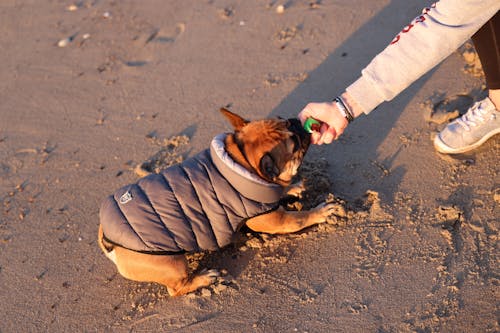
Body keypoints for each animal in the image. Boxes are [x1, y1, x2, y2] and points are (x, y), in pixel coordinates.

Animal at [97, 108, 336, 296]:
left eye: (283, 120)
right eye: (294, 144)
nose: (296, 122)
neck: (240, 162)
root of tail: (106, 237)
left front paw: (292, 187)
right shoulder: (275, 221)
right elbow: (300, 218)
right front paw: (320, 211)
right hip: (172, 264)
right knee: (177, 288)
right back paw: (204, 278)